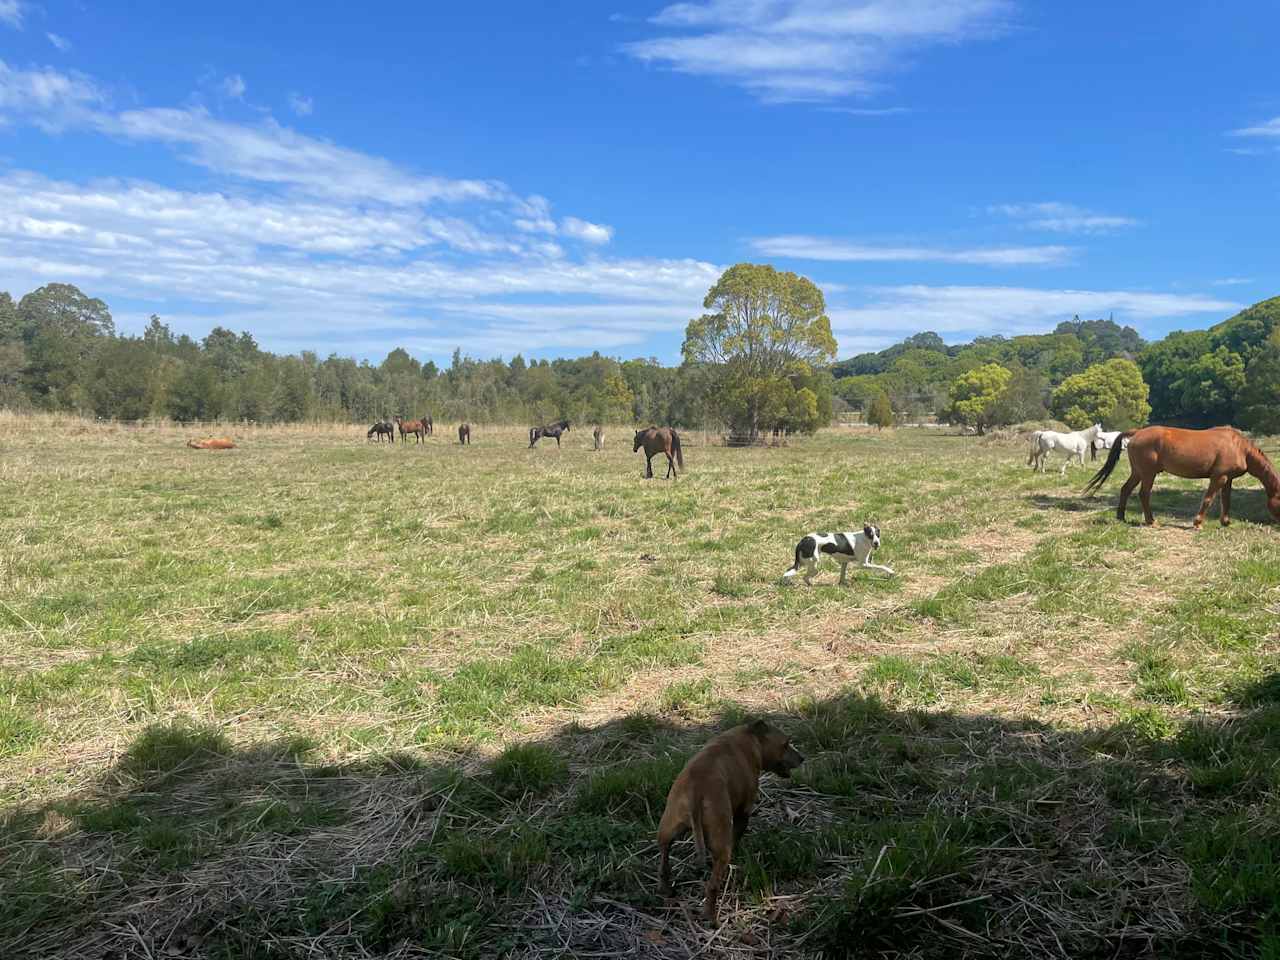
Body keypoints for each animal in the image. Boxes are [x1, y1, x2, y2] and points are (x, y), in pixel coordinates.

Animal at [660, 721, 798, 926]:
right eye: (786, 743)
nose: (803, 758)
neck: (750, 737)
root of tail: (695, 790)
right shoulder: (743, 813)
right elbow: (737, 837)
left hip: (667, 829)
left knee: (664, 861)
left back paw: (666, 890)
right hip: (721, 842)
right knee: (712, 885)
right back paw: (711, 917)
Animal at [1080, 424, 1280, 527]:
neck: (1239, 447)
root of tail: (1137, 432)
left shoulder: (1227, 479)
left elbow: (1226, 500)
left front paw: (1225, 522)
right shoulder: (1219, 477)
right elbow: (1208, 499)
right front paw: (1198, 523)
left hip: (1137, 472)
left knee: (1125, 490)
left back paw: (1121, 517)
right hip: (1148, 474)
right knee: (1144, 494)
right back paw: (1151, 521)